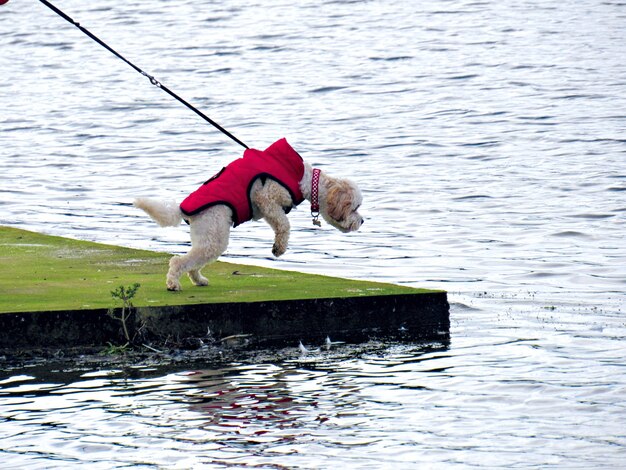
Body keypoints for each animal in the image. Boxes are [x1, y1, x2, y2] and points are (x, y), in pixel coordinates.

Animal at [134, 138, 364, 290]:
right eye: (355, 207)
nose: (362, 221)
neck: (304, 178)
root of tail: (183, 208)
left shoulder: (266, 209)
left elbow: (279, 223)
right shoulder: (266, 197)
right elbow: (284, 224)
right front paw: (279, 248)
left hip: (207, 238)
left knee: (191, 262)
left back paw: (199, 280)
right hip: (214, 237)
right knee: (178, 261)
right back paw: (173, 283)